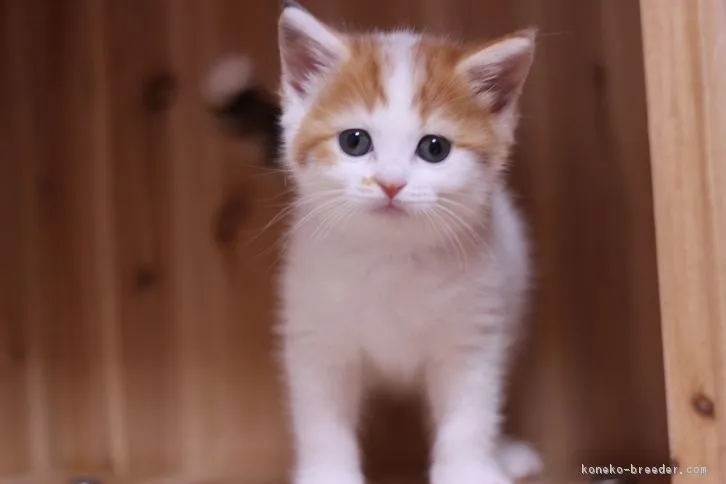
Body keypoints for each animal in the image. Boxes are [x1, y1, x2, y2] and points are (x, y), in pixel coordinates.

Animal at [208, 3, 544, 484]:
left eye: (435, 148)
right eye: (355, 141)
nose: (390, 183)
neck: (391, 256)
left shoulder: (473, 332)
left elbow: (471, 411)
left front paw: (468, 469)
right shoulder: (316, 333)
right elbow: (321, 417)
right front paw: (328, 474)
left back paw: (505, 453)